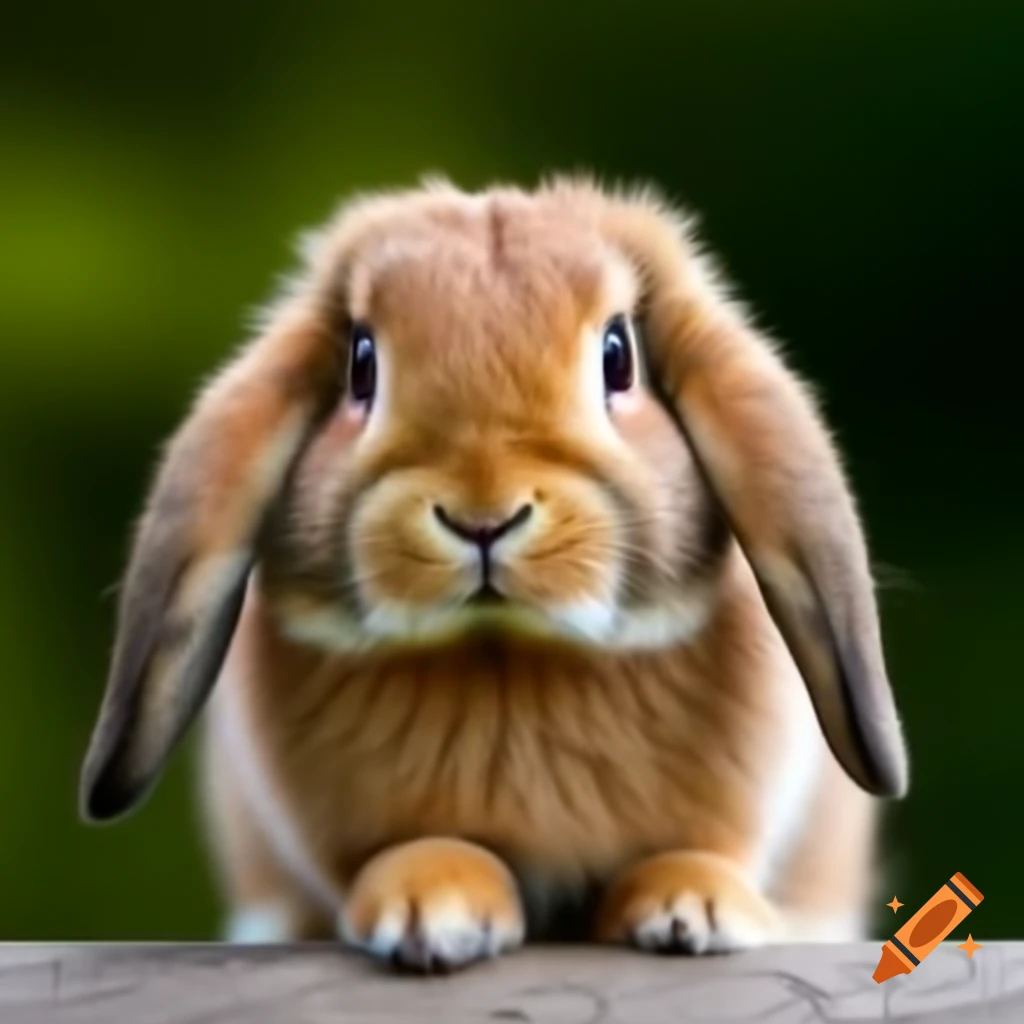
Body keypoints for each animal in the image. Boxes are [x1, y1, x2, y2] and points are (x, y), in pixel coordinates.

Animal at [80, 175, 908, 972]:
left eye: (618, 357)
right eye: (361, 365)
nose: (483, 516)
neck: (507, 656)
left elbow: (696, 852)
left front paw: (693, 909)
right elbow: (413, 853)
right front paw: (434, 912)